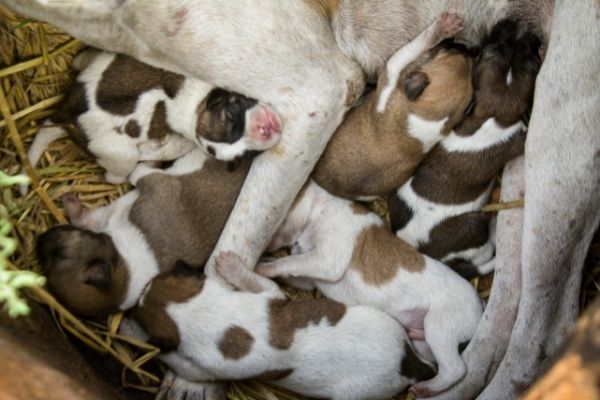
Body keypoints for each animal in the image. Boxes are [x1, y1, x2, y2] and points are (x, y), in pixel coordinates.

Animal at [24, 49, 282, 184]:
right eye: (231, 115)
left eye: (247, 154)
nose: (265, 130)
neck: (197, 104)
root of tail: (67, 115)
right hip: (121, 156)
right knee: (115, 175)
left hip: (98, 60)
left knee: (82, 59)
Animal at [129, 253, 436, 400]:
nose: (139, 295)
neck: (206, 312)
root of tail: (409, 365)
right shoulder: (271, 294)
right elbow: (261, 281)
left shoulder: (201, 366)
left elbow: (179, 361)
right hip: (378, 318)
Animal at [258, 181, 482, 396]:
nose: (264, 247)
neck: (318, 206)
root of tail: (480, 308)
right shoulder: (310, 279)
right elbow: (293, 268)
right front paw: (264, 265)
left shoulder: (327, 260)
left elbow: (289, 261)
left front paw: (264, 268)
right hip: (425, 341)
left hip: (440, 325)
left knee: (455, 369)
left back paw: (425, 389)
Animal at [312, 13, 476, 199]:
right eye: (450, 50)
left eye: (442, 51)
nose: (469, 48)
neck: (431, 117)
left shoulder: (392, 69)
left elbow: (417, 44)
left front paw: (441, 27)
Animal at [392, 18, 540, 280]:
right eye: (491, 49)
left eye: (529, 59)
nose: (517, 22)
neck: (493, 114)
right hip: (473, 225)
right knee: (485, 252)